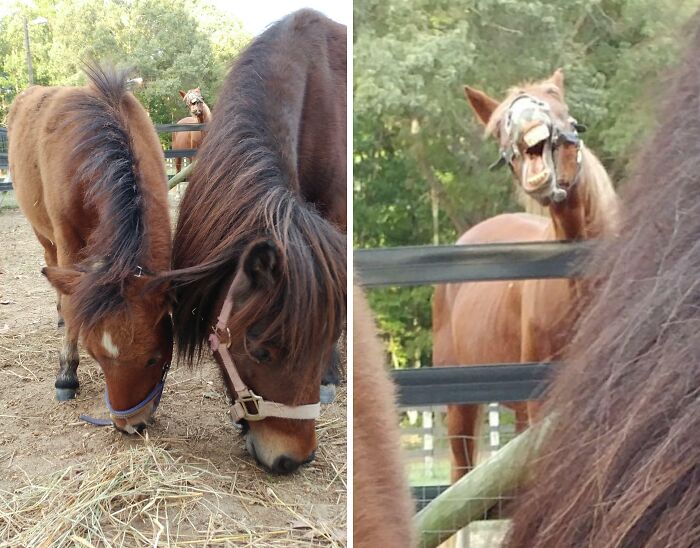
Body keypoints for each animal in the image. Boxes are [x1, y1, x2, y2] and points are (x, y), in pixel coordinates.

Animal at [7, 64, 173, 433]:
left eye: (154, 357)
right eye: (96, 355)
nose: (129, 425)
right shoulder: (68, 241)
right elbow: (73, 304)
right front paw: (66, 374)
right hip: (45, 236)